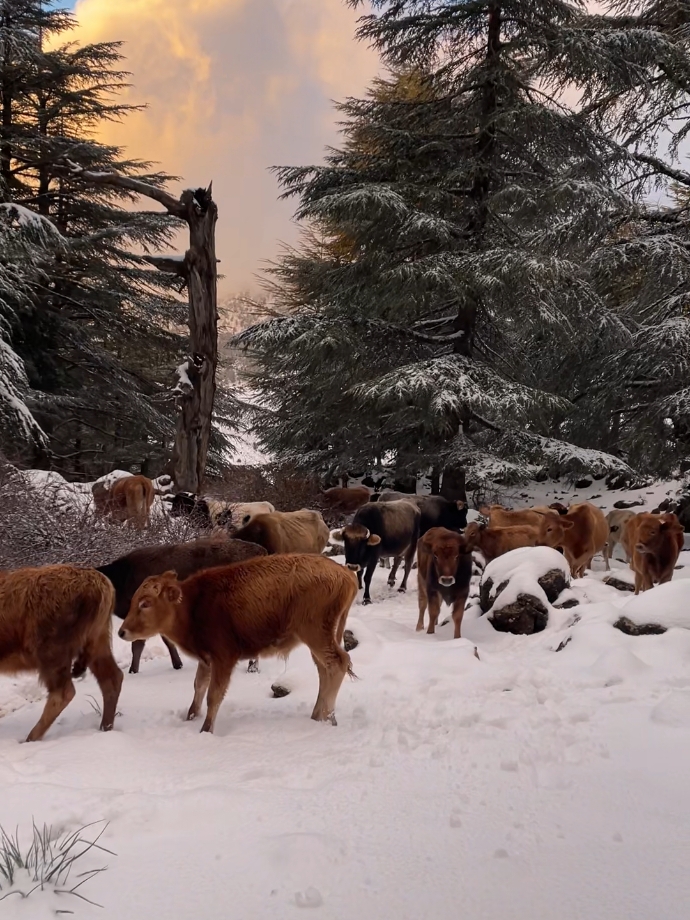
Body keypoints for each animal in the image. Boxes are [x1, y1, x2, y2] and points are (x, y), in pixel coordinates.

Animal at [0, 564, 121, 744]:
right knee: (112, 678)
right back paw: (105, 728)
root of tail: (101, 582)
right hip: (98, 641)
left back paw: (30, 739)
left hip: (50, 651)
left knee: (63, 692)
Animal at [119, 552, 358, 732]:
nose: (122, 632)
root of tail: (345, 573)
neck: (192, 605)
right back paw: (318, 716)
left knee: (338, 663)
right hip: (318, 639)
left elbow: (214, 695)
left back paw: (326, 718)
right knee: (324, 670)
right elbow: (198, 687)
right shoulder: (206, 659)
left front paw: (206, 730)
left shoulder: (223, 658)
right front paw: (190, 717)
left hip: (316, 635)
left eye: (145, 603)